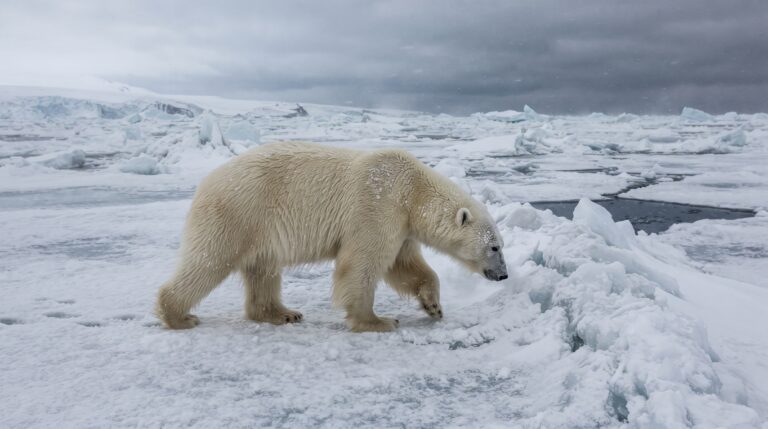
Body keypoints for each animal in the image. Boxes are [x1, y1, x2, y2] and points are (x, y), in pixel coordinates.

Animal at [155, 142, 508, 332]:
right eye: (494, 247)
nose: (503, 275)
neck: (412, 190)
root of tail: (205, 183)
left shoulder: (401, 224)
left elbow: (405, 266)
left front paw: (433, 306)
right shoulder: (378, 204)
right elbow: (363, 262)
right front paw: (378, 321)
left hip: (258, 227)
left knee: (263, 269)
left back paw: (283, 313)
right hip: (238, 212)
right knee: (209, 260)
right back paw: (178, 315)